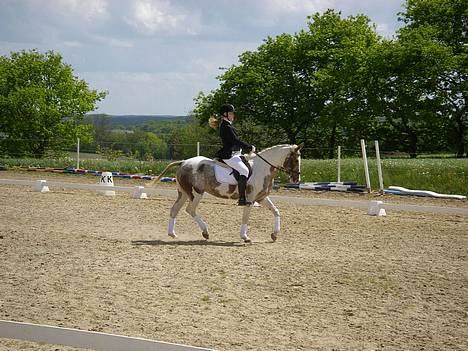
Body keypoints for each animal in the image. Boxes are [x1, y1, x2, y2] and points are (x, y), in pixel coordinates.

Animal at [150, 144, 304, 243]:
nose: (297, 179)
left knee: (175, 209)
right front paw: (245, 237)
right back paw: (205, 232)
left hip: (183, 193)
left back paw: (172, 234)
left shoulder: (261, 198)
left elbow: (276, 211)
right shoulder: (250, 198)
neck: (263, 168)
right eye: (296, 159)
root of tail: (183, 162)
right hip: (196, 193)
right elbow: (245, 217)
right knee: (190, 209)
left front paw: (274, 234)